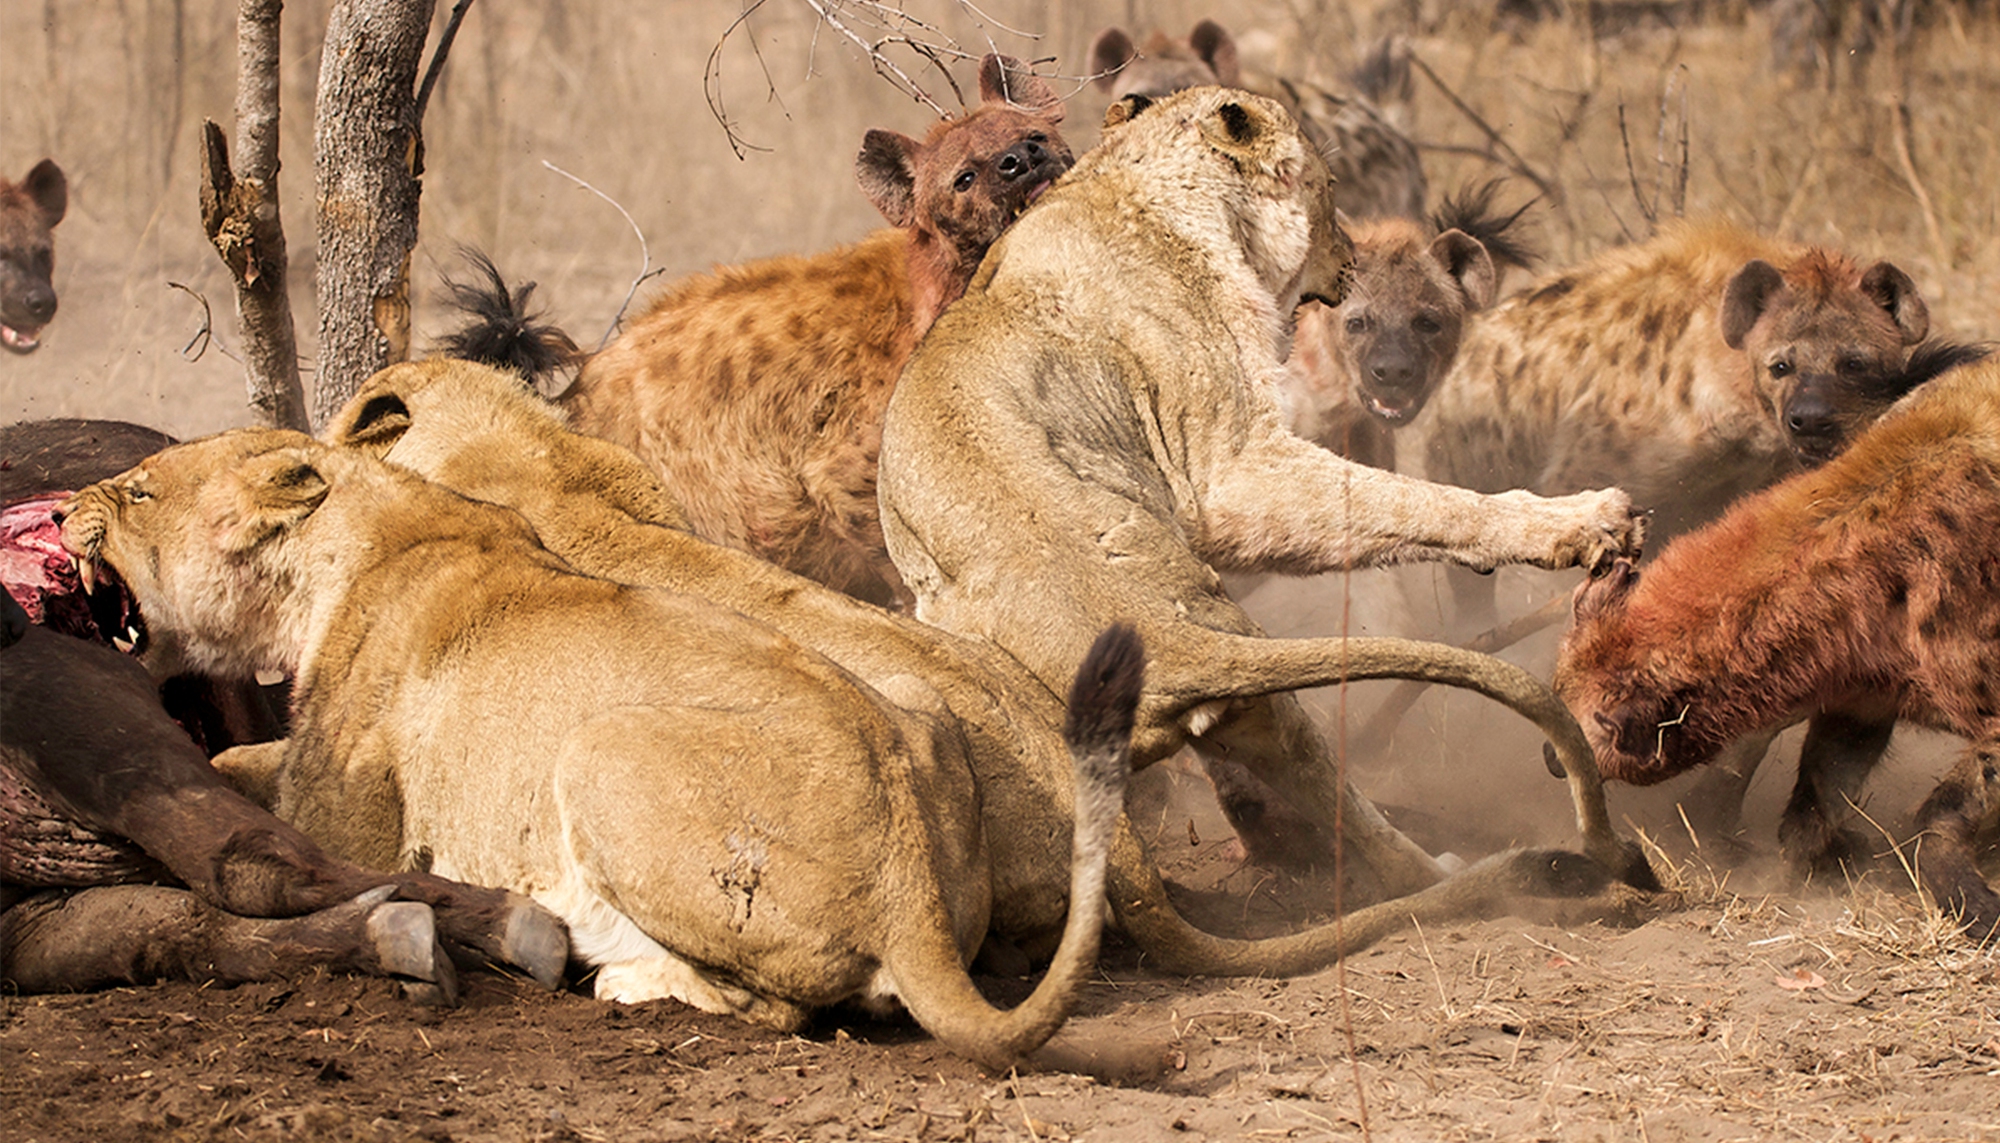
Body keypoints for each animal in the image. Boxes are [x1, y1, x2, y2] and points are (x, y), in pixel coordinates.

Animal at [884, 84, 1648, 899]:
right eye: (1329, 187)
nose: (1350, 254)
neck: (1129, 187)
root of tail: (1172, 641)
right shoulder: (1227, 468)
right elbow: (1411, 499)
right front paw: (1584, 520)